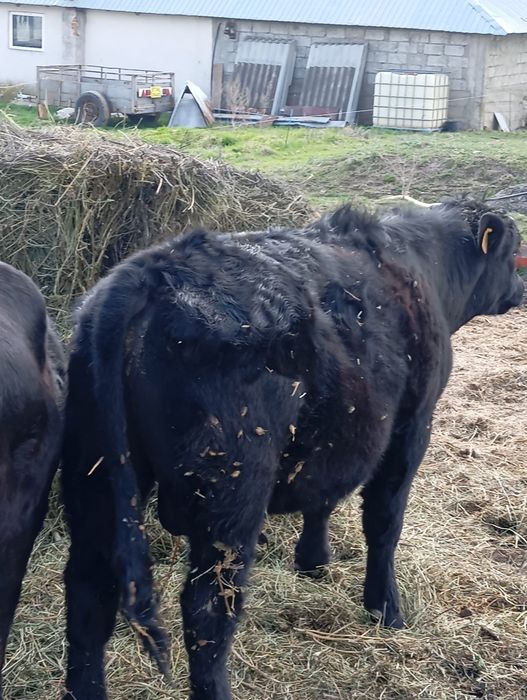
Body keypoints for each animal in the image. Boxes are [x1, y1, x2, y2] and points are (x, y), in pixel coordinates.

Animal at [61, 199, 524, 700]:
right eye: (514, 250)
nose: (520, 289)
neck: (424, 266)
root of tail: (153, 269)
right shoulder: (411, 427)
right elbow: (385, 523)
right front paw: (386, 609)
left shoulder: (335, 435)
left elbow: (322, 498)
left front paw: (313, 562)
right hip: (232, 494)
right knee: (207, 609)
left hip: (94, 477)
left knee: (88, 595)